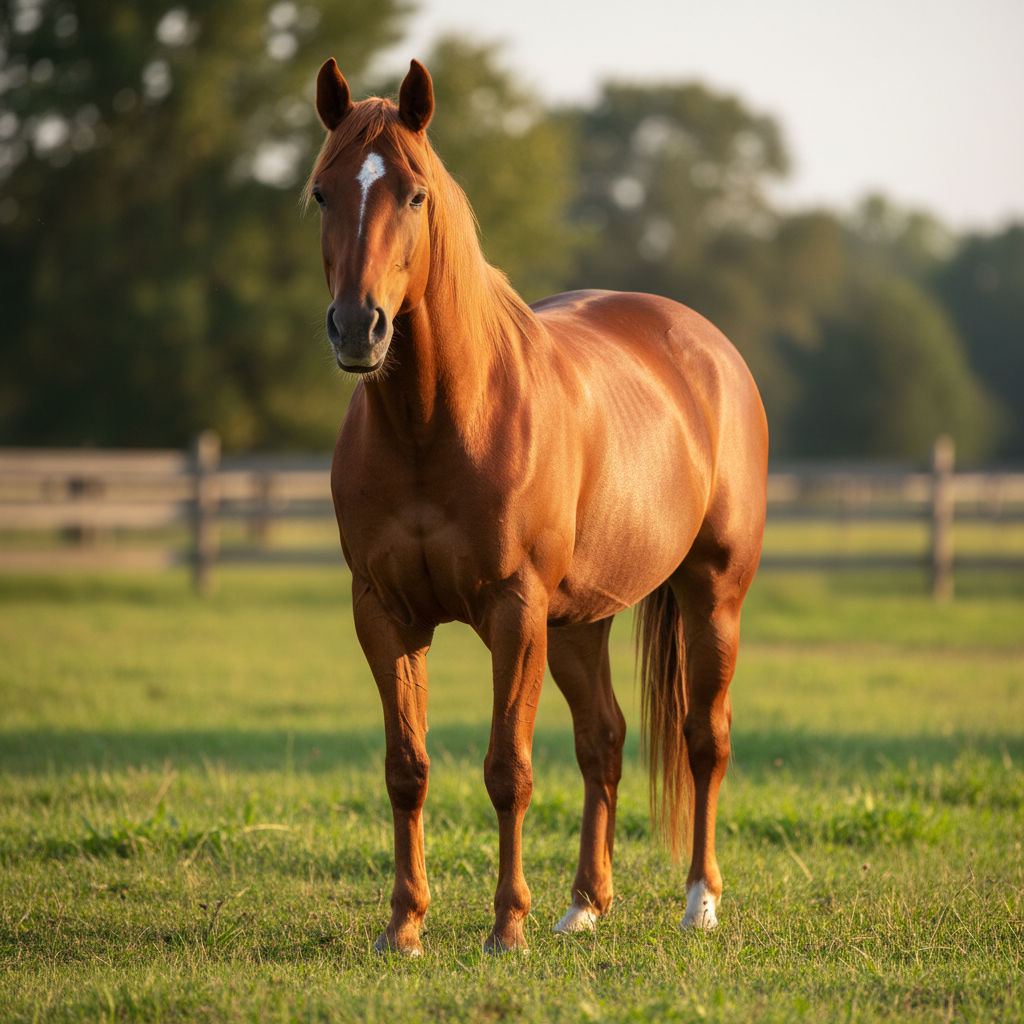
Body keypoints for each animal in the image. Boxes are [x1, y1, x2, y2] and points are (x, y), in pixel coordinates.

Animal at [309, 57, 768, 955]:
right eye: (321, 193)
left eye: (414, 195)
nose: (358, 328)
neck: (435, 423)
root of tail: (706, 344)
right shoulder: (382, 612)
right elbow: (406, 768)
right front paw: (404, 927)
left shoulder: (513, 610)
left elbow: (507, 770)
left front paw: (505, 929)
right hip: (580, 622)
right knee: (605, 741)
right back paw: (586, 903)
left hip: (712, 596)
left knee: (705, 738)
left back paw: (699, 902)